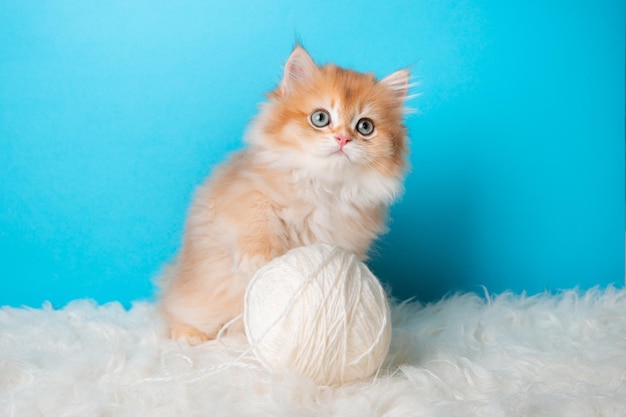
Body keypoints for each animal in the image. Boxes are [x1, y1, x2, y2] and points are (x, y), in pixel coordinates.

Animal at [158, 46, 408, 344]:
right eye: (321, 118)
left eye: (365, 127)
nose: (343, 139)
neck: (323, 186)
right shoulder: (244, 190)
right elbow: (258, 217)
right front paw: (261, 258)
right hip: (197, 300)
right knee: (172, 311)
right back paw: (189, 336)